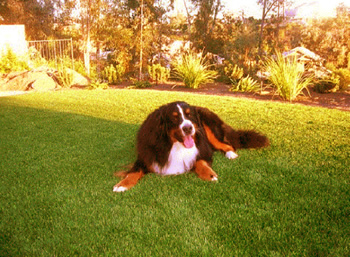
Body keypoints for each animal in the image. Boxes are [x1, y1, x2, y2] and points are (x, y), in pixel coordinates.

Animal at [113, 101, 270, 191]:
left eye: (189, 115)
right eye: (174, 117)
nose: (188, 128)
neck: (173, 144)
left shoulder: (204, 150)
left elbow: (199, 161)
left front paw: (209, 174)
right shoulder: (146, 156)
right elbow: (134, 171)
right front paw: (122, 184)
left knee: (227, 144)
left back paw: (230, 154)